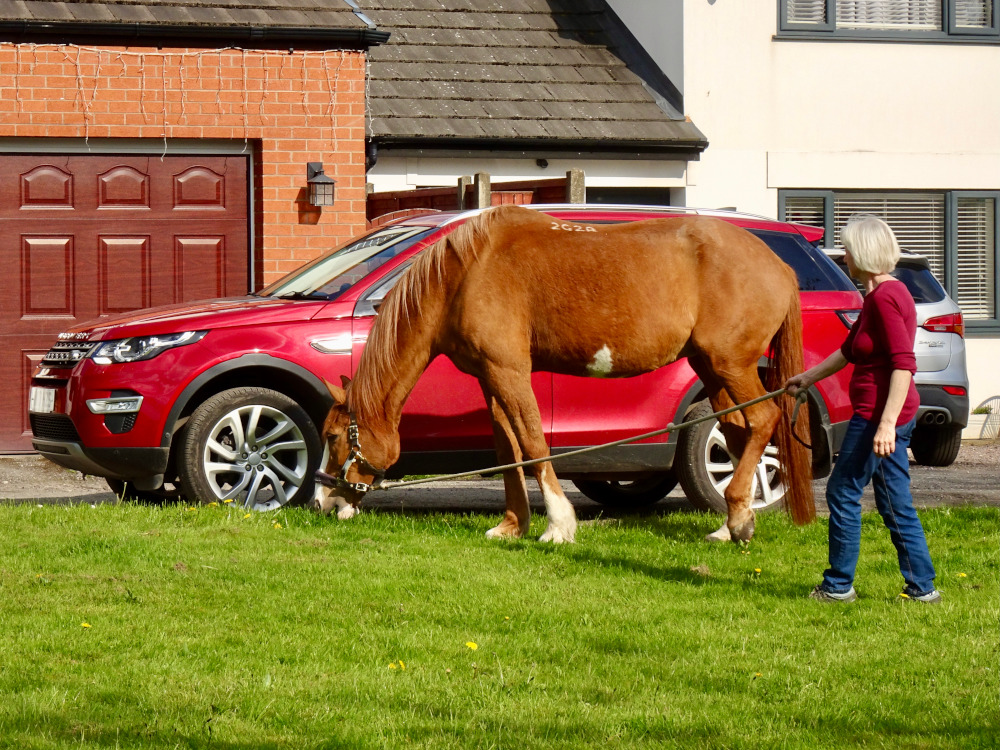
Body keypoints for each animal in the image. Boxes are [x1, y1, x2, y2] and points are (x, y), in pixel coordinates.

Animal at [310, 206, 812, 544]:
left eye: (333, 436)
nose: (322, 501)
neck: (466, 273)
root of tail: (783, 266)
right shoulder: (490, 377)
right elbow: (509, 449)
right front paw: (511, 525)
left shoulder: (510, 372)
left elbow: (533, 444)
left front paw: (558, 524)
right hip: (710, 368)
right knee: (737, 429)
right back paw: (730, 524)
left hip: (732, 365)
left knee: (763, 420)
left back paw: (739, 521)